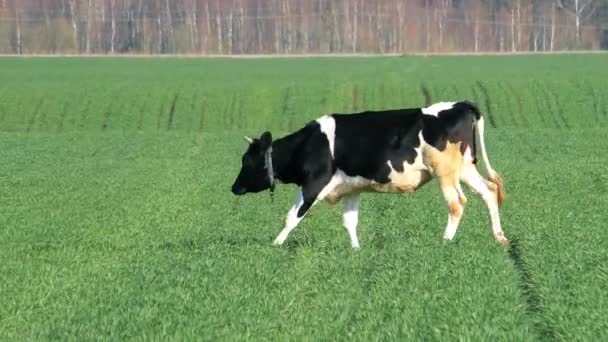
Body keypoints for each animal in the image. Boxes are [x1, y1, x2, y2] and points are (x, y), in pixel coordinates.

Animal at [230, 100, 506, 247]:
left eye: (247, 160)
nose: (233, 187)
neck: (308, 144)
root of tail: (462, 104)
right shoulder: (351, 188)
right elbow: (350, 222)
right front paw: (356, 250)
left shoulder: (313, 185)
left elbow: (291, 218)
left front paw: (275, 245)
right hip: (465, 168)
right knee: (489, 191)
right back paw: (500, 238)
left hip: (446, 173)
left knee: (457, 203)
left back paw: (445, 242)